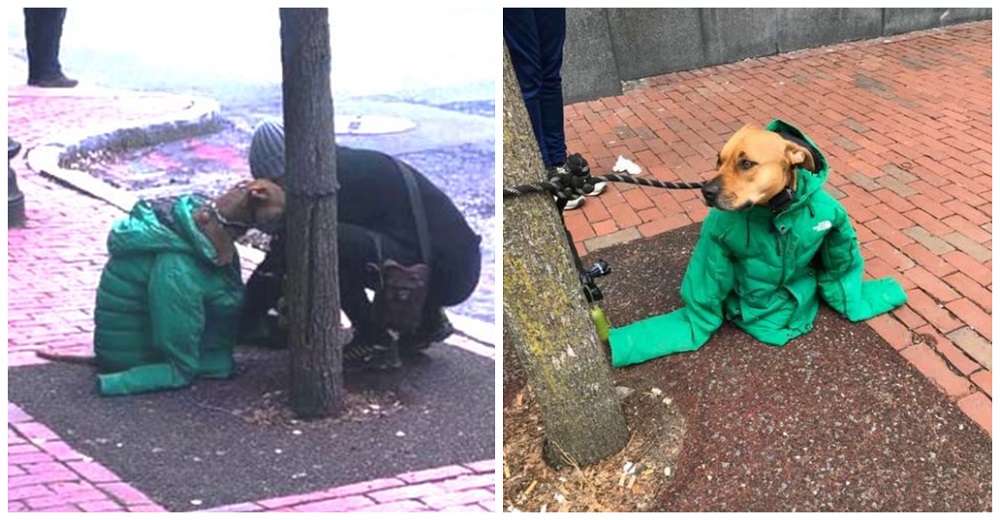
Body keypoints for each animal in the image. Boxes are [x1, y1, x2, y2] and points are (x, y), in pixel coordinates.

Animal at [608, 120, 908, 368]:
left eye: (746, 164)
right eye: (718, 160)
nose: (706, 190)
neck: (778, 211)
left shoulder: (837, 223)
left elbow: (843, 273)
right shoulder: (714, 242)